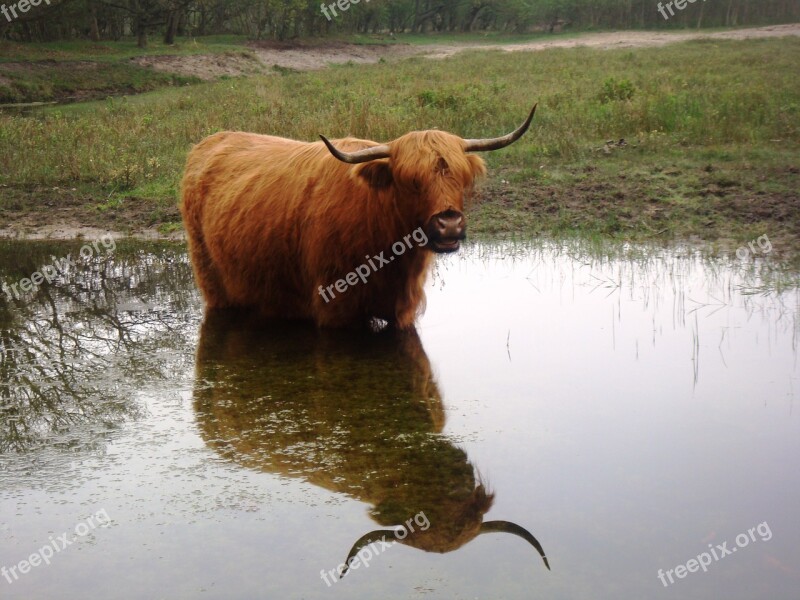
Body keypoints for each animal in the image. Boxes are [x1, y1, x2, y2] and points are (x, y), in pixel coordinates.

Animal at [181, 105, 536, 326]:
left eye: (461, 178)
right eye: (411, 181)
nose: (449, 224)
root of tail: (211, 141)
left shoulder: (402, 310)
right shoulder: (335, 309)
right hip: (213, 284)